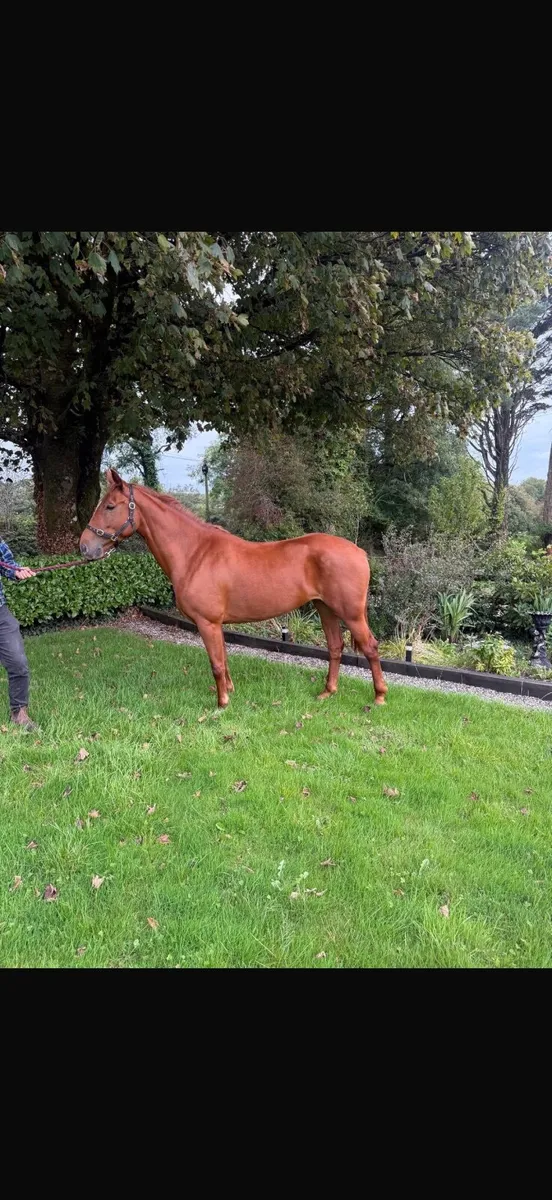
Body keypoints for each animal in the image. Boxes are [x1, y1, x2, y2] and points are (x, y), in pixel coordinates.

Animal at [80, 469, 387, 710]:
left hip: (350, 613)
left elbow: (216, 663)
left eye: (110, 506)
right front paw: (229, 691)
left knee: (370, 647)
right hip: (326, 609)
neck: (195, 553)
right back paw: (327, 692)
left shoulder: (207, 622)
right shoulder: (217, 624)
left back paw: (379, 697)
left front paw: (221, 704)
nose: (84, 547)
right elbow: (224, 660)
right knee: (335, 647)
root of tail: (359, 552)